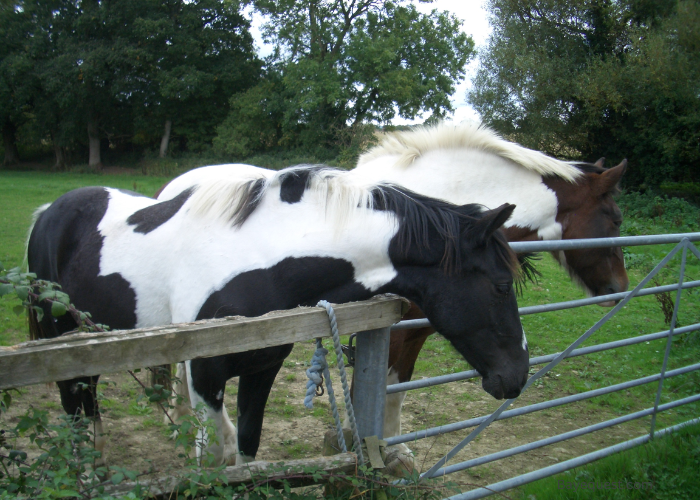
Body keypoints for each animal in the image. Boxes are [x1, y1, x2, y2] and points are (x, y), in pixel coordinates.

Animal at [28, 164, 532, 464]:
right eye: (500, 285)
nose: (517, 377)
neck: (259, 260)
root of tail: (48, 211)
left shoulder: (261, 369)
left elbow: (247, 447)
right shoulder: (203, 374)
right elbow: (216, 453)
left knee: (88, 399)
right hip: (60, 341)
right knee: (73, 407)